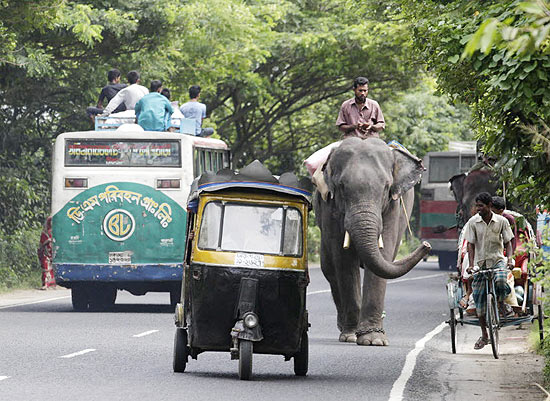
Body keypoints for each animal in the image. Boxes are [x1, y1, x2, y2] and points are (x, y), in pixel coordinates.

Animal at [312, 137, 434, 344]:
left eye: (386, 187)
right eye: (342, 187)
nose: (426, 245)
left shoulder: (394, 205)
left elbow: (384, 253)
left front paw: (373, 340)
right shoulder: (330, 207)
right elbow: (344, 260)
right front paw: (351, 336)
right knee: (329, 270)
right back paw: (344, 329)